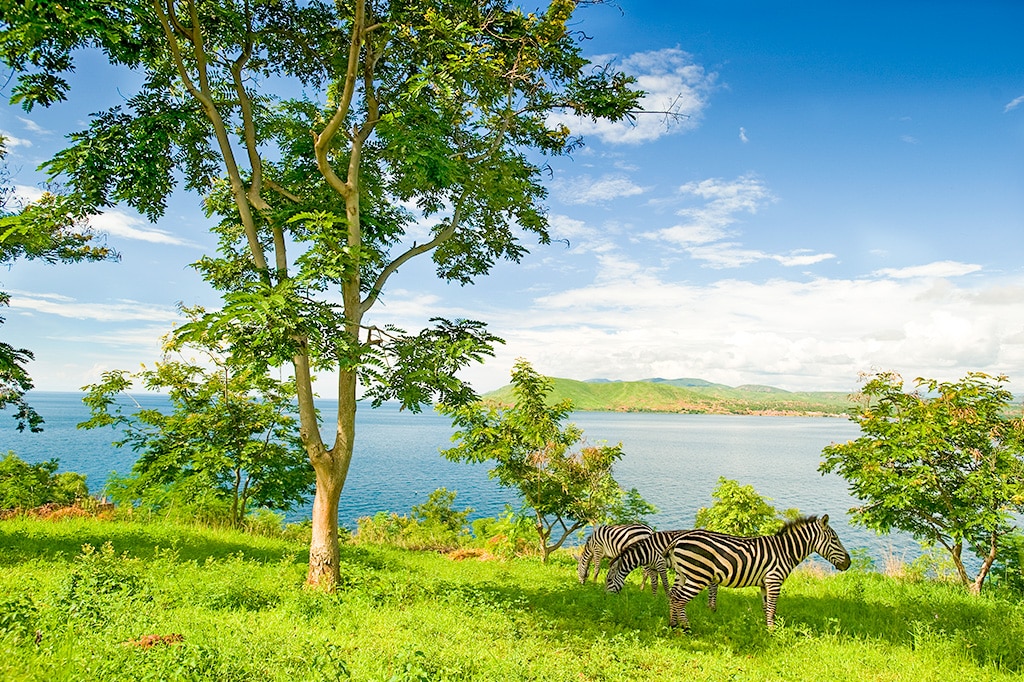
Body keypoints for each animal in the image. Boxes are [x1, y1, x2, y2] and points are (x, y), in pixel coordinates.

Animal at [666, 514, 851, 631]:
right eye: (835, 539)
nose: (848, 563)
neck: (786, 550)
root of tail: (679, 539)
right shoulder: (774, 580)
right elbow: (772, 608)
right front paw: (772, 632)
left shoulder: (764, 584)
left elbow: (766, 608)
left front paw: (765, 628)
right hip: (698, 576)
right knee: (680, 600)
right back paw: (686, 628)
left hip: (682, 574)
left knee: (673, 596)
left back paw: (673, 624)